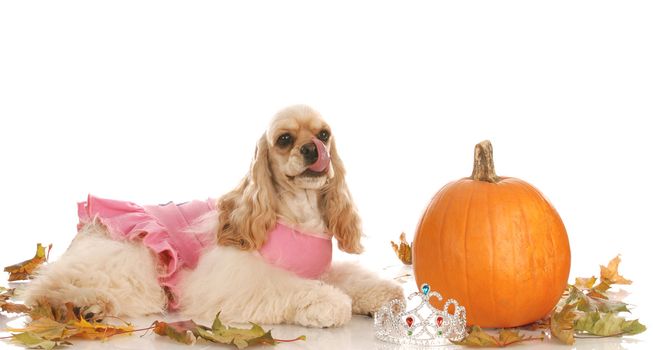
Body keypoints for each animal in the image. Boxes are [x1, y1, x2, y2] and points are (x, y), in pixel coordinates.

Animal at [24, 104, 402, 328]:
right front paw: (331, 304)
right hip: (131, 258)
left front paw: (384, 295)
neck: (298, 212)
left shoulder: (318, 268)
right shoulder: (234, 276)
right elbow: (291, 288)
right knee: (50, 286)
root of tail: (87, 227)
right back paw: (79, 306)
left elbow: (352, 277)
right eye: (284, 139)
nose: (313, 150)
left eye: (324, 135)